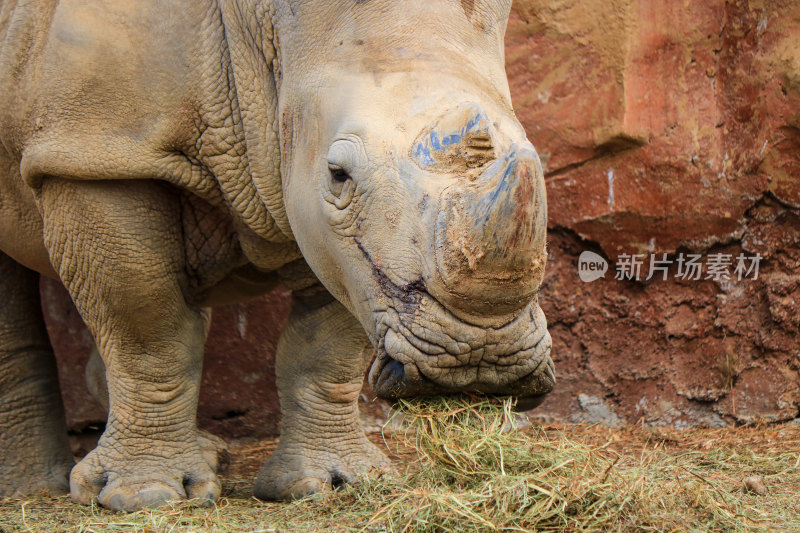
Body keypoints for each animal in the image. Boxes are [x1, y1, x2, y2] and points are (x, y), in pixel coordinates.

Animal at [0, 0, 552, 510]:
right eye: (338, 174)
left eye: (536, 162)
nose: (477, 360)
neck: (271, 31)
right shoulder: (99, 153)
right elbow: (149, 333)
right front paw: (146, 497)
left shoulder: (342, 246)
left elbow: (326, 348)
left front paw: (333, 484)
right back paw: (32, 490)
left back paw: (206, 455)